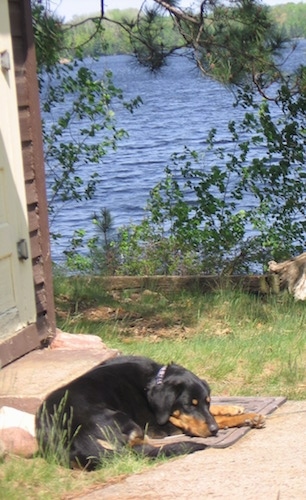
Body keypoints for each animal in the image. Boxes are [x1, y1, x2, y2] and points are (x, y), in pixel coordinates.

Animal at [35, 356, 266, 468]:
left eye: (204, 402)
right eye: (189, 405)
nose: (214, 431)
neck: (154, 379)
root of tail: (69, 438)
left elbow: (216, 410)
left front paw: (238, 410)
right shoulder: (161, 425)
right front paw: (240, 417)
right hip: (123, 420)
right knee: (139, 449)